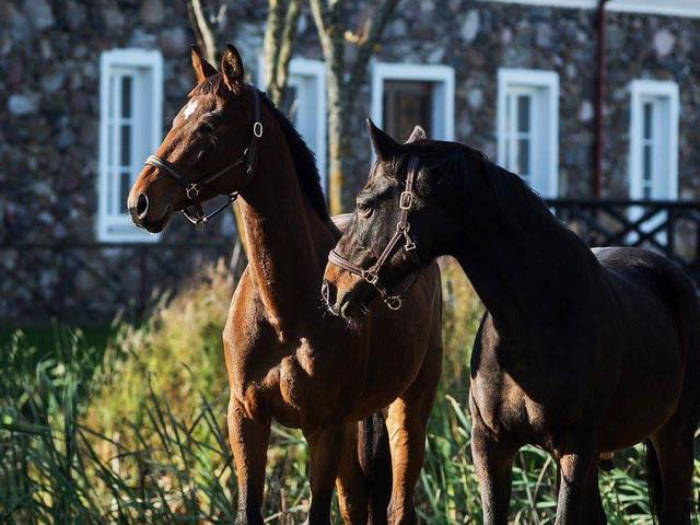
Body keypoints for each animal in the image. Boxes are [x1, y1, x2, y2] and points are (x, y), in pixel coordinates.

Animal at [127, 46, 442, 524]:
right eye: (176, 119)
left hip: (408, 407)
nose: (141, 201)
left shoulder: (323, 427)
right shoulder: (246, 417)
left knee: (399, 504)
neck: (285, 310)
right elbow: (250, 509)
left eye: (209, 125)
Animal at [324, 121, 700, 520]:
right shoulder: (491, 447)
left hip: (673, 438)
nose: (331, 286)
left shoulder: (575, 450)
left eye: (365, 206)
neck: (535, 316)